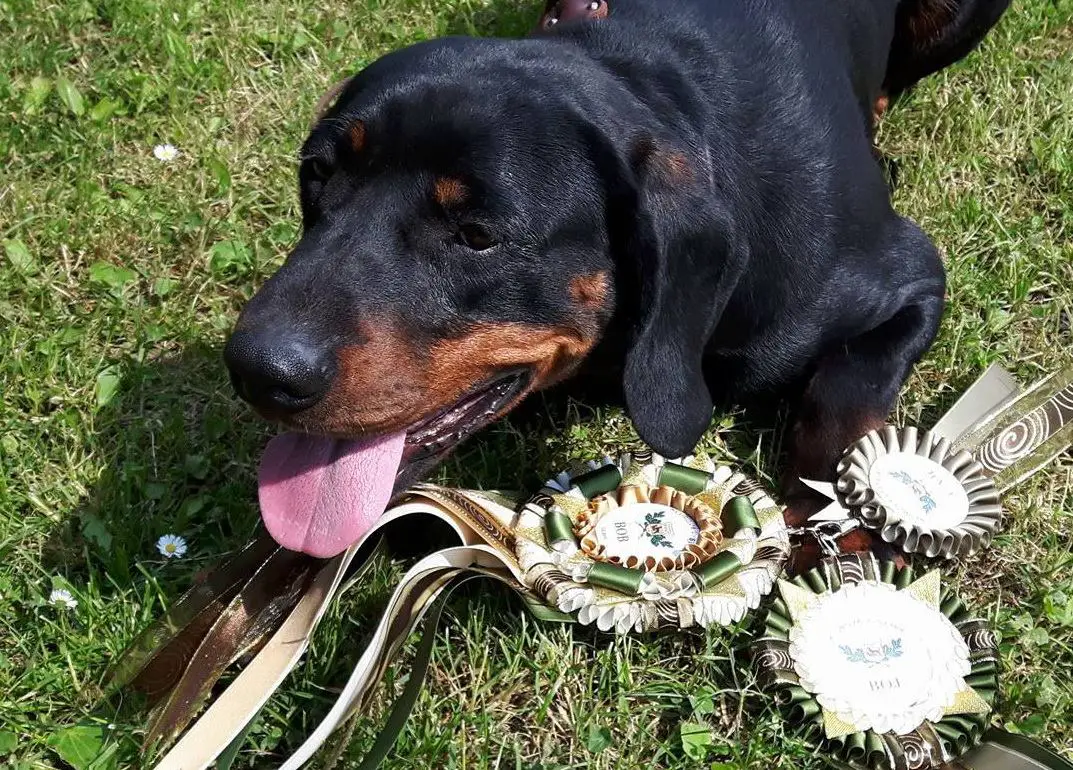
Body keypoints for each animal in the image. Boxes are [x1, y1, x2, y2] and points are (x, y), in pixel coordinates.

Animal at [222, 0, 1008, 561]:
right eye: (316, 173)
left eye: (476, 235)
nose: (257, 370)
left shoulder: (908, 275)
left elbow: (842, 399)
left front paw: (843, 535)